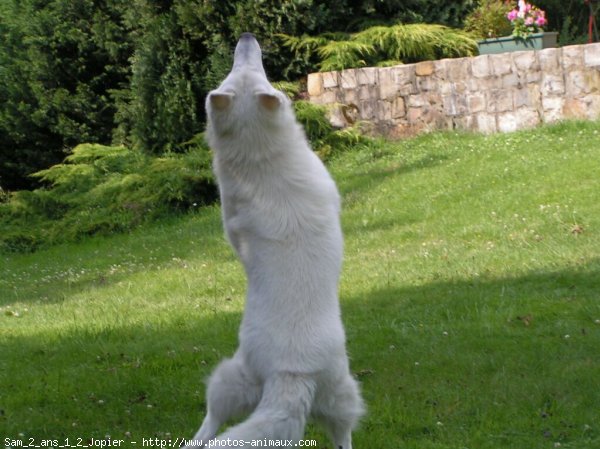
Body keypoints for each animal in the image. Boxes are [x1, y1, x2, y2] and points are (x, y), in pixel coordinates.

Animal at [186, 32, 366, 448]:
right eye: (244, 68)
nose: (246, 37)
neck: (258, 155)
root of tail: (290, 372)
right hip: (336, 389)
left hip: (246, 384)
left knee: (212, 424)